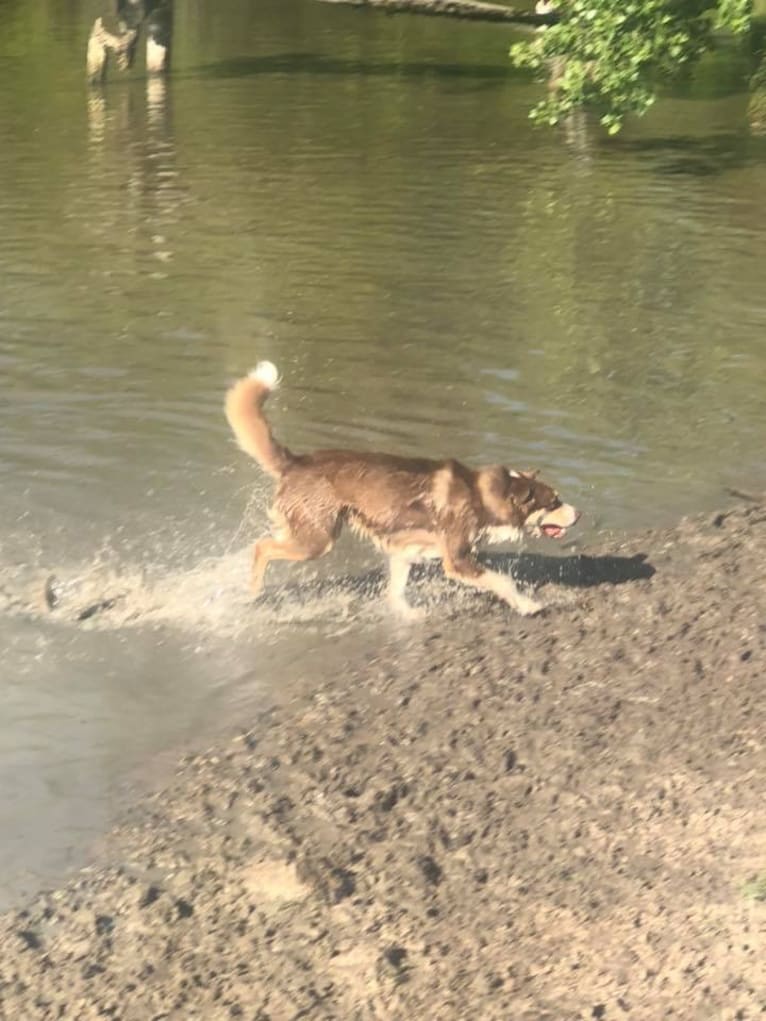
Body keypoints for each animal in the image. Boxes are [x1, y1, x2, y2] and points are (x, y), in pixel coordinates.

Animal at [224, 363, 580, 616]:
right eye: (554, 502)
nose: (579, 514)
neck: (483, 494)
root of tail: (295, 462)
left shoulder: (404, 550)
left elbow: (395, 592)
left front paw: (406, 616)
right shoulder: (456, 561)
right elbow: (503, 580)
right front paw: (529, 605)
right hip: (316, 540)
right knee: (261, 548)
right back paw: (253, 591)